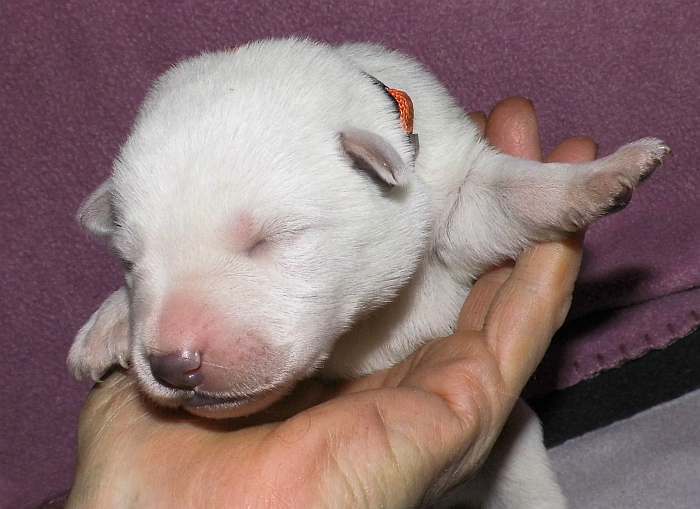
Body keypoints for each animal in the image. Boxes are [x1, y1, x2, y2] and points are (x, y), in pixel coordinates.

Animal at [67, 37, 668, 506]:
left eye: (271, 238)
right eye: (128, 262)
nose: (173, 365)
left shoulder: (454, 190)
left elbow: (509, 194)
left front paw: (608, 172)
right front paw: (107, 323)